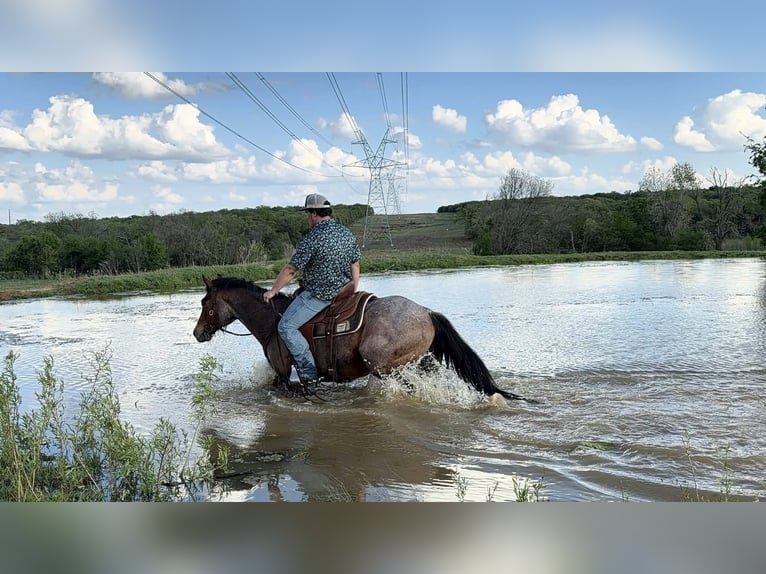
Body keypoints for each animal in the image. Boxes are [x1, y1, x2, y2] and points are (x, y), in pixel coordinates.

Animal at [192, 275, 532, 402]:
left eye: (205, 303)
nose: (197, 333)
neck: (271, 321)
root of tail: (426, 312)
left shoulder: (283, 373)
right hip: (419, 362)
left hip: (386, 366)